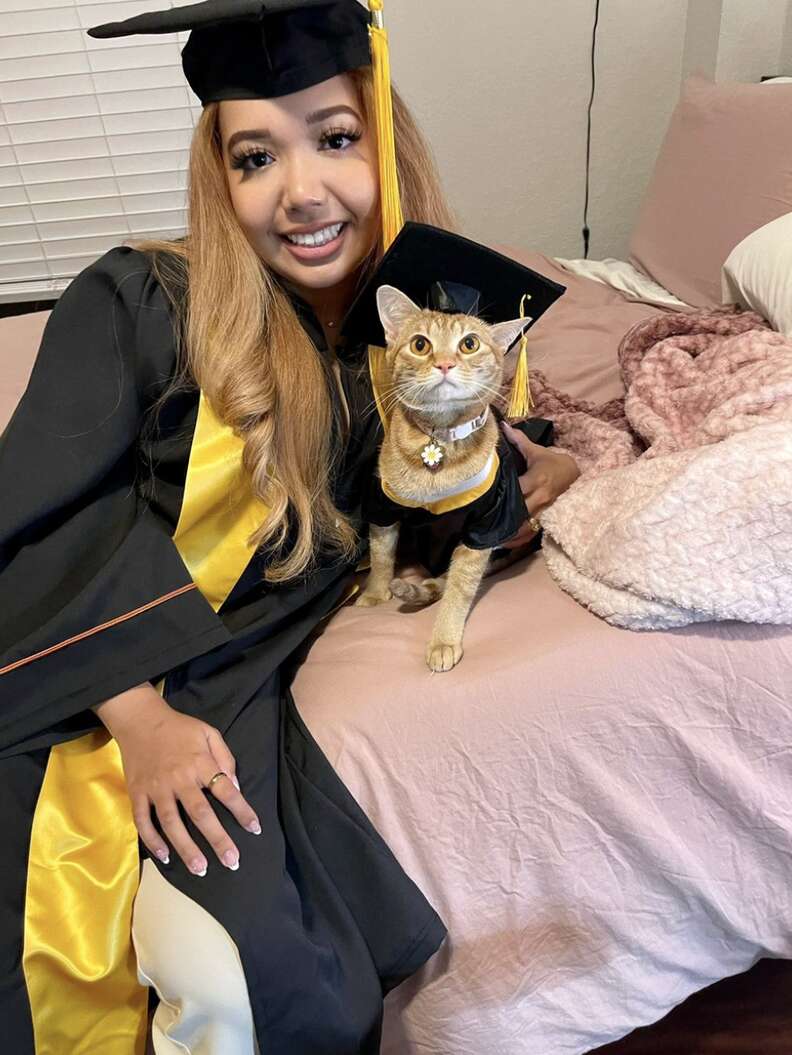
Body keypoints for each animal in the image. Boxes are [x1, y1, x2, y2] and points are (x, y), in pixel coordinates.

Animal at [358, 284, 533, 670]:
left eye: (469, 344)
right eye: (420, 344)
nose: (444, 363)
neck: (437, 442)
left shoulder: (485, 528)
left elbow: (459, 589)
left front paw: (443, 640)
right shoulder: (383, 506)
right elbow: (381, 555)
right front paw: (376, 592)